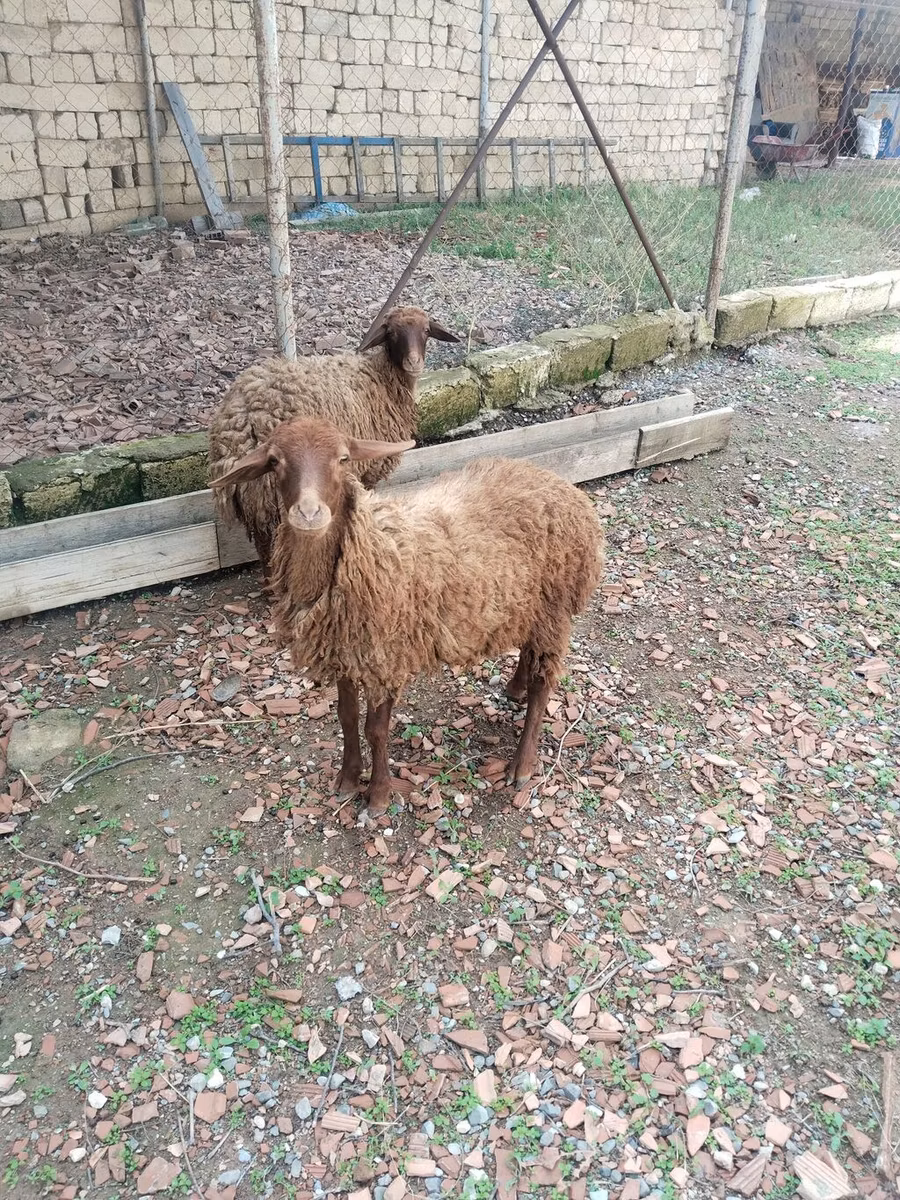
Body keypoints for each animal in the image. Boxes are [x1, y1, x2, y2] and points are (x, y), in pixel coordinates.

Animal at [207, 306, 459, 572]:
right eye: (391, 332)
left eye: (426, 330)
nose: (413, 362)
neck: (381, 377)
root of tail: (243, 421)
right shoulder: (367, 468)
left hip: (258, 505)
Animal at [209, 415, 605, 822]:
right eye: (274, 462)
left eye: (343, 458)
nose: (308, 514)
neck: (368, 547)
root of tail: (559, 484)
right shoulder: (343, 650)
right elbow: (346, 717)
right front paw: (347, 780)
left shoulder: (385, 654)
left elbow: (375, 730)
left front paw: (378, 797)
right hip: (529, 606)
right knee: (528, 652)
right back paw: (515, 688)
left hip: (555, 606)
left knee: (544, 686)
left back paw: (522, 765)